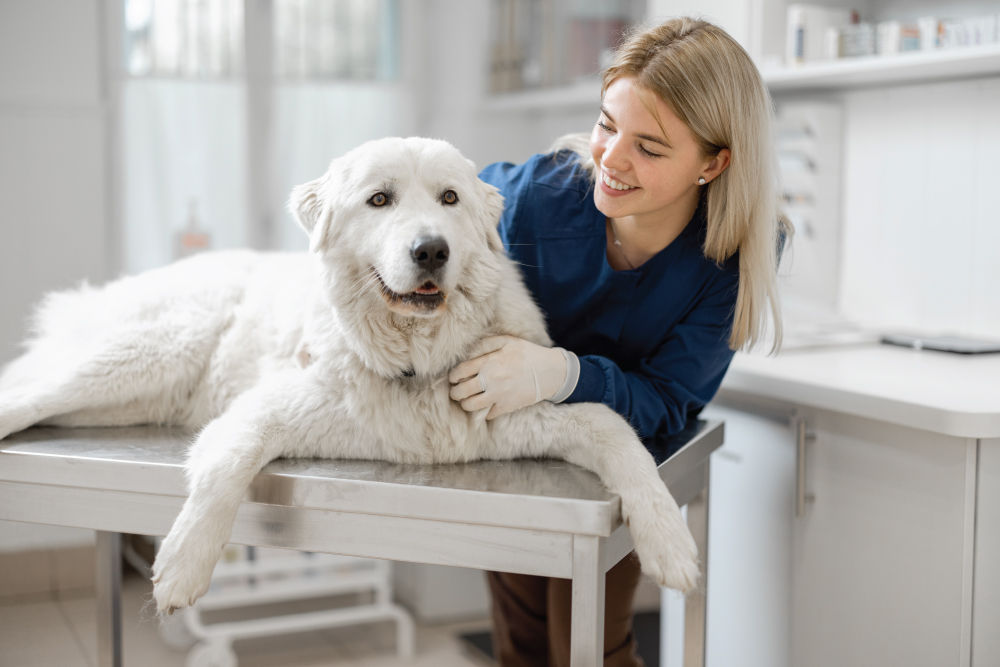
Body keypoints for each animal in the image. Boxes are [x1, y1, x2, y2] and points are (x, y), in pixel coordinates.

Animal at [0, 137, 700, 616]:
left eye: (450, 199)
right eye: (380, 200)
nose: (430, 250)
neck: (416, 364)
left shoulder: (518, 409)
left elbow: (618, 434)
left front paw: (670, 544)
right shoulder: (263, 410)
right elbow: (227, 466)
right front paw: (183, 566)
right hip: (147, 356)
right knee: (27, 394)